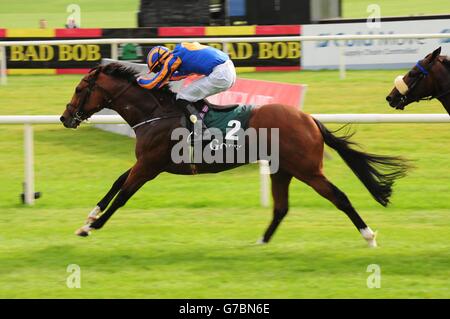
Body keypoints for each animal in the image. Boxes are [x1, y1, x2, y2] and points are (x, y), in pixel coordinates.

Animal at [59, 62, 408, 248]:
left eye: (79, 89)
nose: (65, 117)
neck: (155, 113)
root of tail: (309, 118)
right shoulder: (145, 162)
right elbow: (117, 182)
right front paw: (89, 217)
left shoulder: (149, 165)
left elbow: (123, 195)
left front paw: (93, 226)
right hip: (282, 169)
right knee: (281, 207)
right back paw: (261, 244)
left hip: (308, 170)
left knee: (340, 197)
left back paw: (369, 236)